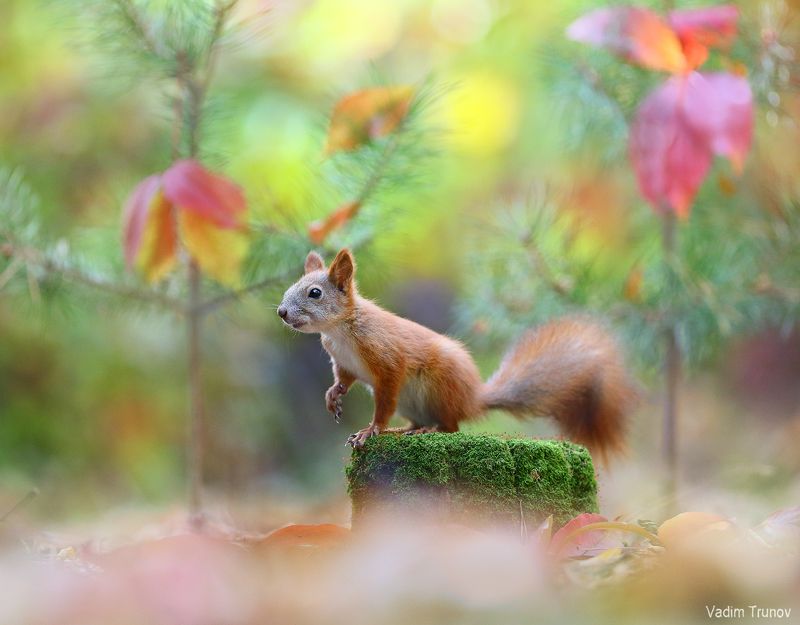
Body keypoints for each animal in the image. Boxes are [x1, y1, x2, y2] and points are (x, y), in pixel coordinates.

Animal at [277, 249, 637, 460]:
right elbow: (344, 379)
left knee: (451, 426)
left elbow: (384, 400)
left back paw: (429, 430)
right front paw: (333, 396)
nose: (281, 312)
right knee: (421, 421)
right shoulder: (342, 361)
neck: (339, 331)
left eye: (314, 293)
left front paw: (372, 429)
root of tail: (472, 398)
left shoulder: (388, 362)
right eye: (289, 288)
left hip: (440, 386)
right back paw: (406, 430)